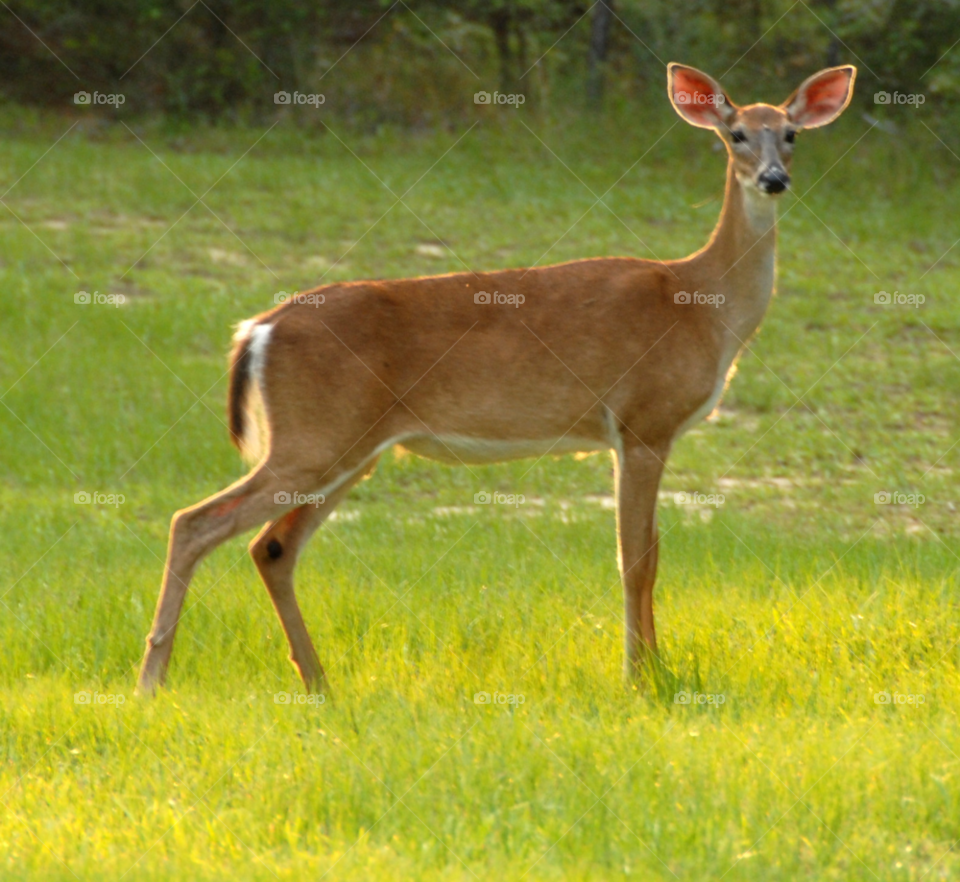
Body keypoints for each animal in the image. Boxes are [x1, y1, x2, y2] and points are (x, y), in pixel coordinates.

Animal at [137, 63, 856, 695]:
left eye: (791, 133)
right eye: (736, 134)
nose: (773, 179)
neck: (703, 302)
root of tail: (256, 328)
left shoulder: (643, 432)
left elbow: (648, 552)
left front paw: (652, 668)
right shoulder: (642, 421)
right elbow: (636, 558)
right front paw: (641, 677)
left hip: (349, 448)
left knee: (272, 548)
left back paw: (316, 681)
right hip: (313, 439)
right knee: (194, 522)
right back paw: (153, 678)